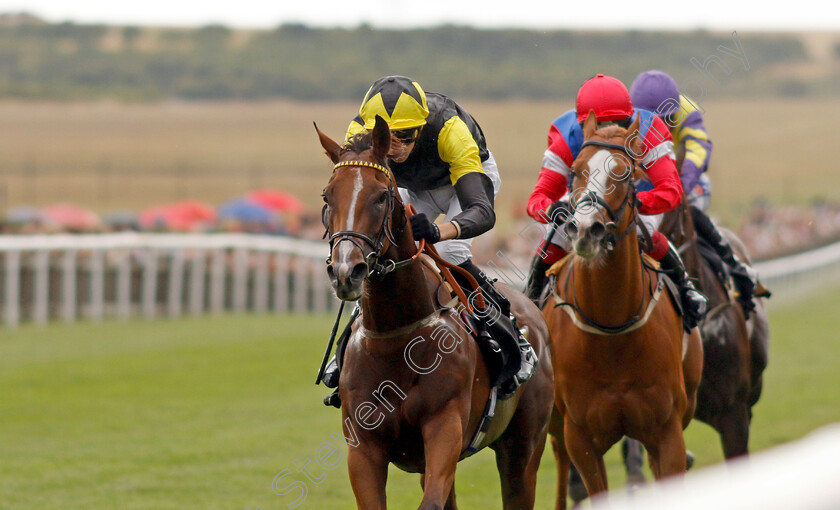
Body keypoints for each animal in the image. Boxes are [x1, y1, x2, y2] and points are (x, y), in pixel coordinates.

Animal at [312, 116, 556, 510]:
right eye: (327, 196)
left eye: (382, 196)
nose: (347, 271)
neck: (396, 334)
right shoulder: (364, 448)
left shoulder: (445, 428)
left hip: (523, 446)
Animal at [544, 110, 704, 506]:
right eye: (575, 171)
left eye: (627, 174)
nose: (586, 229)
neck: (611, 326)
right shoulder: (580, 438)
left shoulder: (667, 431)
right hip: (554, 424)